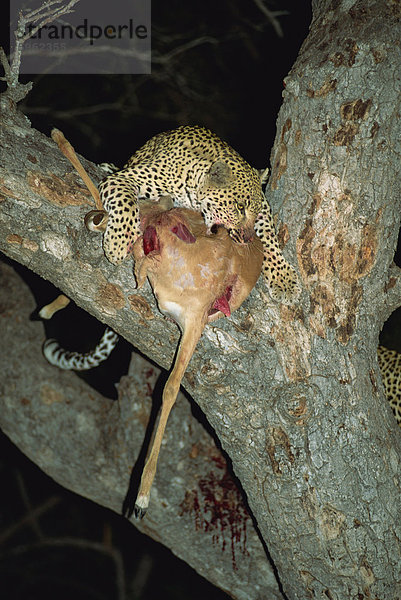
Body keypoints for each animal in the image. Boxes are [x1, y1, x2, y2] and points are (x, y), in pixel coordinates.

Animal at [87, 123, 300, 302]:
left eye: (254, 212)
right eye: (240, 207)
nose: (247, 239)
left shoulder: (264, 208)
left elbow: (268, 237)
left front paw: (285, 280)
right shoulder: (124, 178)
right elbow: (125, 204)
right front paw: (117, 244)